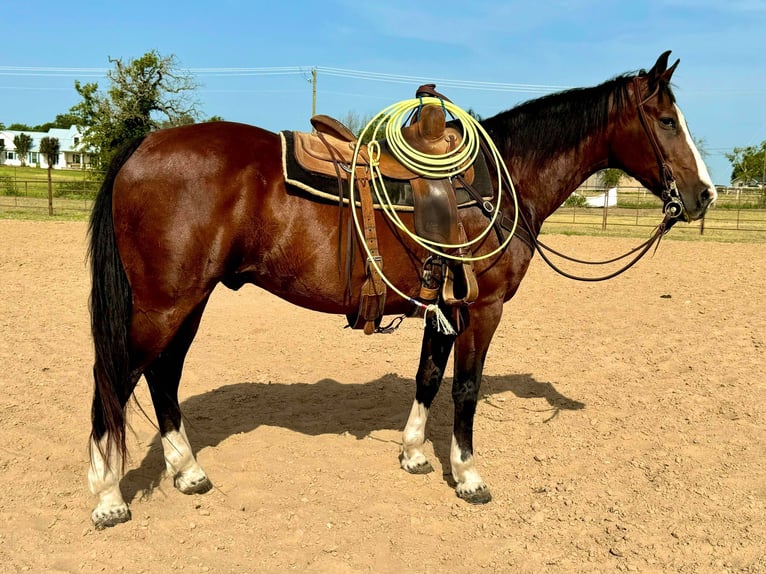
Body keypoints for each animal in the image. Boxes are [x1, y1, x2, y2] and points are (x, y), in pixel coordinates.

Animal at [86, 51, 716, 528]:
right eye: (666, 120)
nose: (704, 194)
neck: (499, 182)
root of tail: (143, 146)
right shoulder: (482, 309)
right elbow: (465, 389)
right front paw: (468, 476)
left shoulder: (446, 306)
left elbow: (428, 377)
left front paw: (414, 454)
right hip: (164, 305)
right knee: (116, 379)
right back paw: (109, 495)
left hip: (188, 301)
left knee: (163, 377)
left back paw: (187, 471)